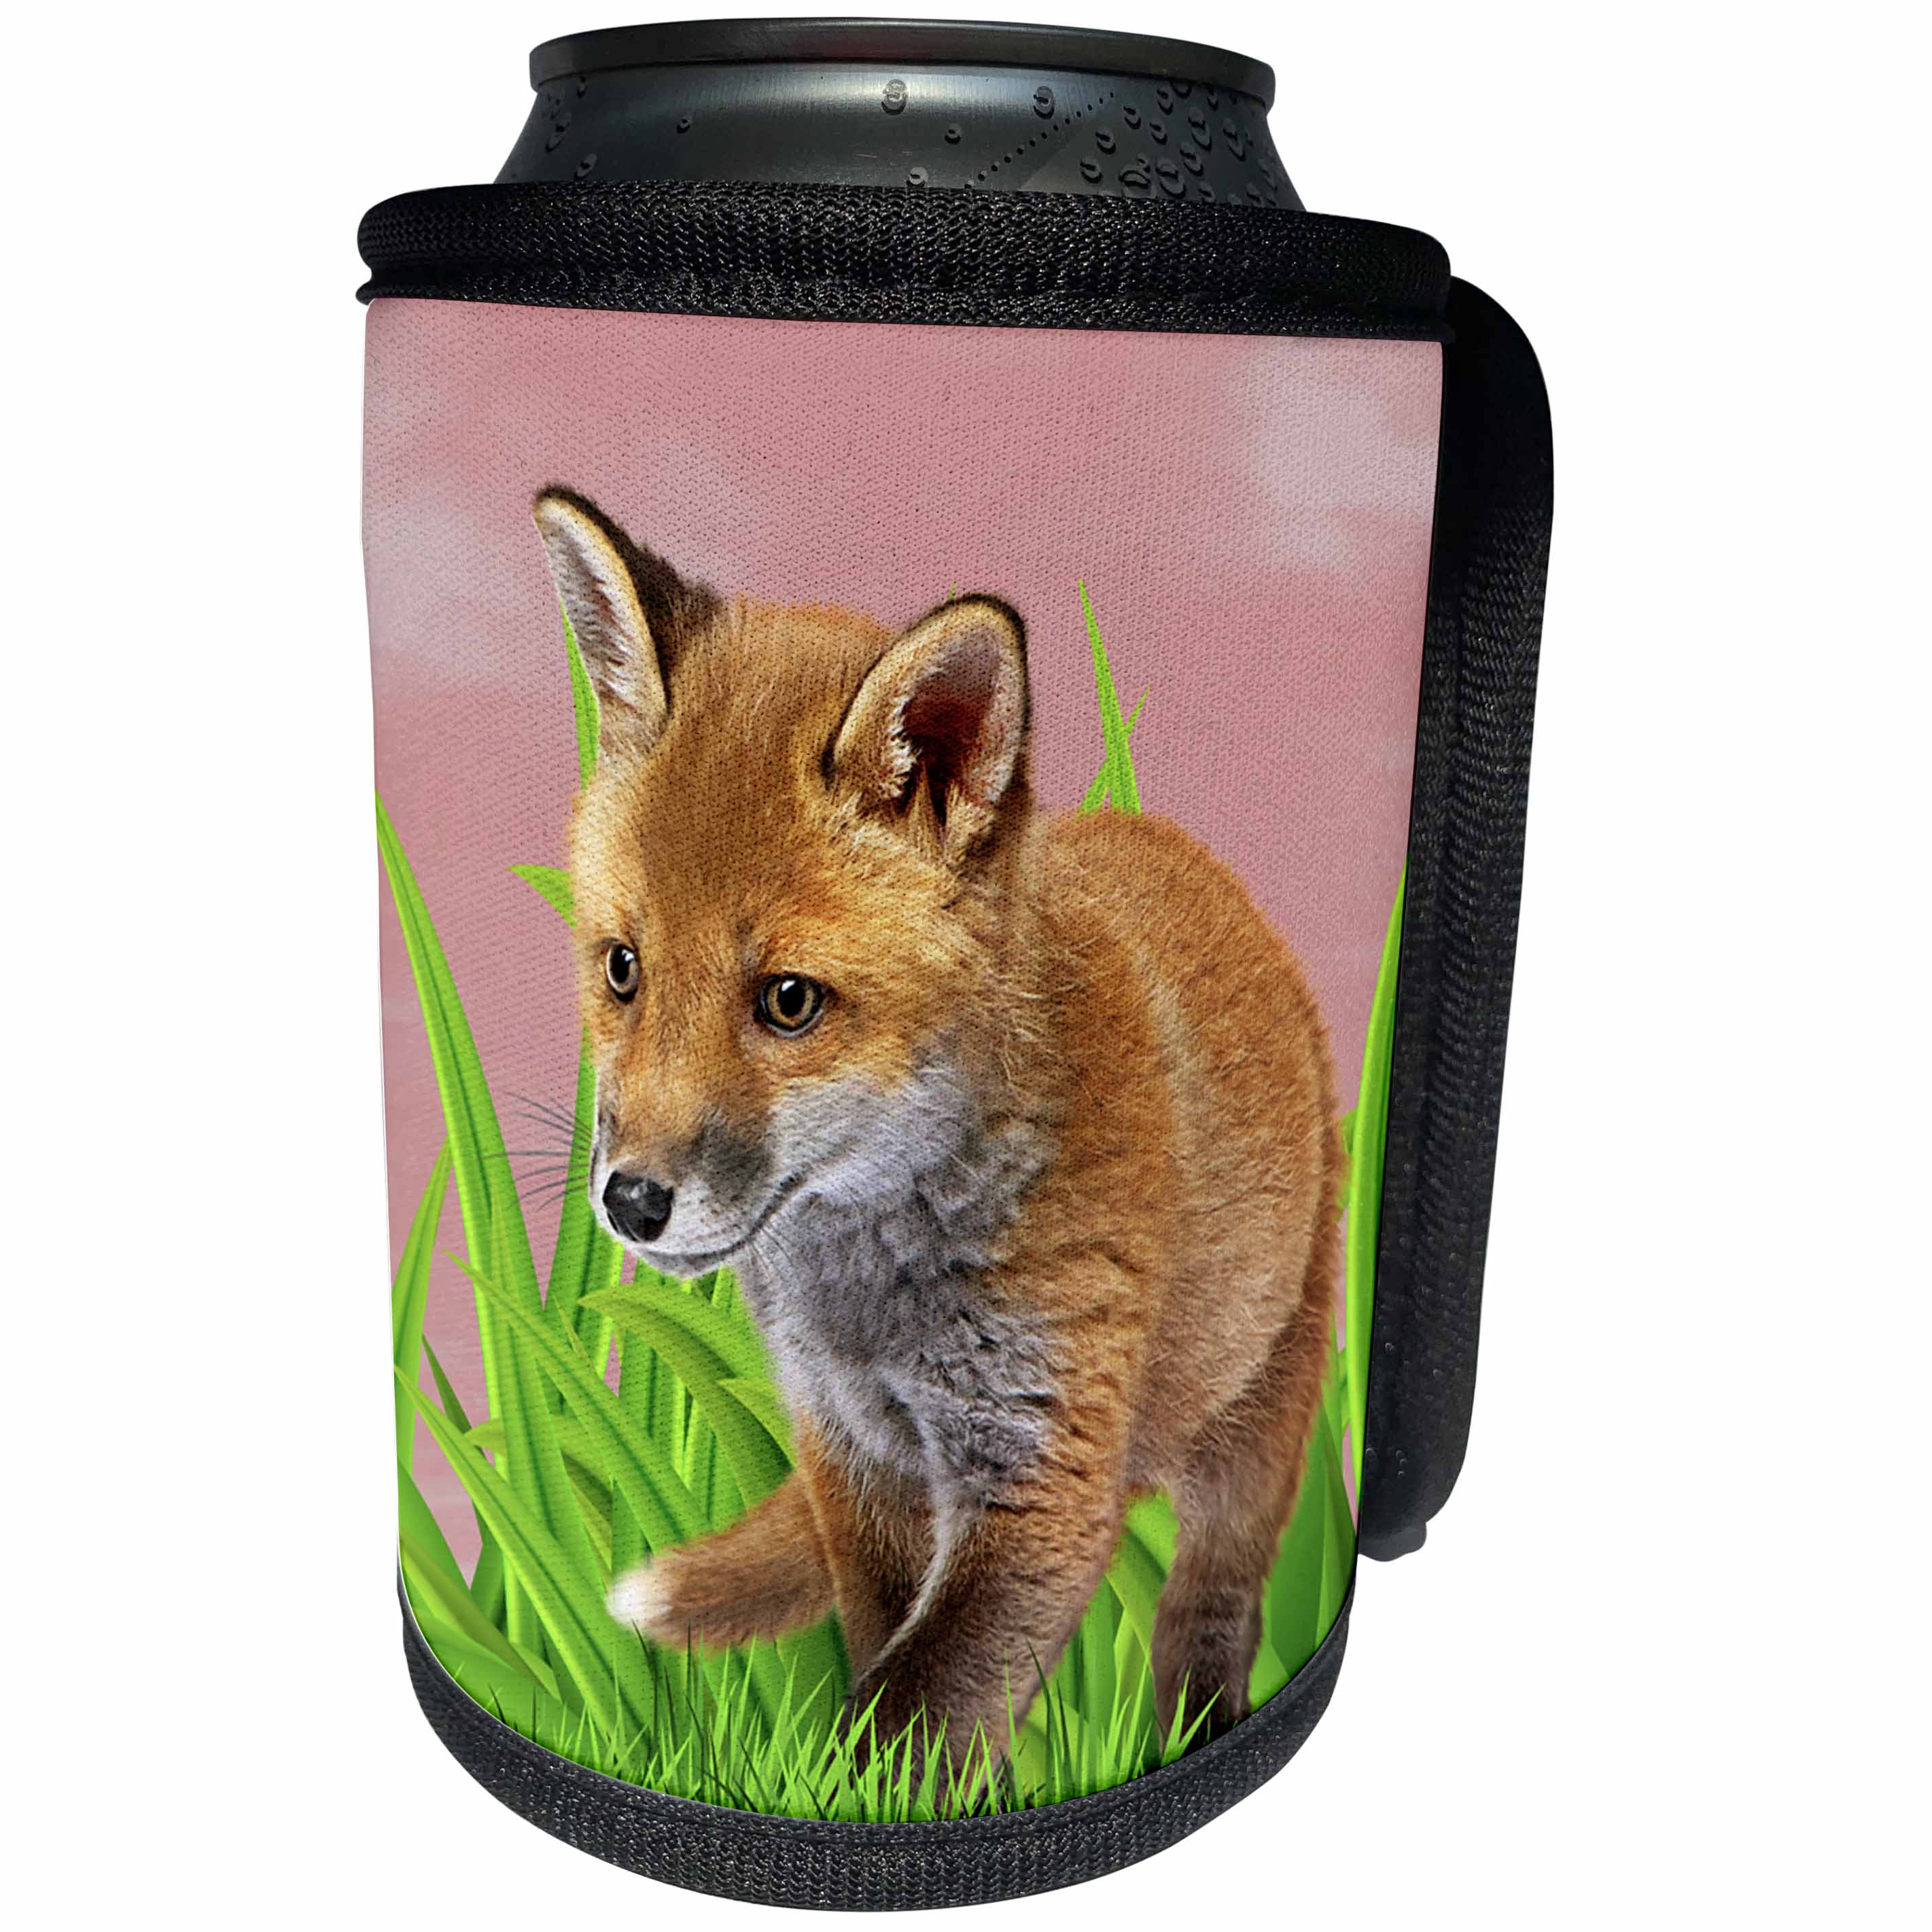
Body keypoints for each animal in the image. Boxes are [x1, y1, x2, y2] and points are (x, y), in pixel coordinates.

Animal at [531, 486, 1342, 1775]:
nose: (631, 1201)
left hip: (1265, 1393)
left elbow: (909, 1717)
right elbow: (887, 1660)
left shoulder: (1041, 1465)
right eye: (622, 968)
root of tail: (1188, 854)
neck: (874, 1298)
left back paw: (1194, 1726)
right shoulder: (854, 1453)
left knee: (1212, 1599)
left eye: (788, 1000)